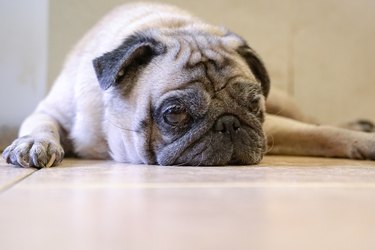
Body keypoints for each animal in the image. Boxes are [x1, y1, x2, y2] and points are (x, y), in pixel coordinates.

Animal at [2, 1, 375, 167]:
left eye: (254, 104)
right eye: (175, 113)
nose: (229, 123)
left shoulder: (273, 124)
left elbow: (322, 134)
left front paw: (361, 141)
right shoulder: (52, 110)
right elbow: (41, 123)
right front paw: (34, 143)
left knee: (313, 120)